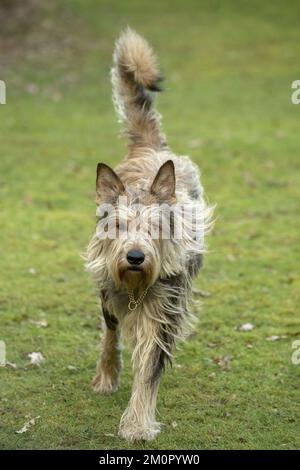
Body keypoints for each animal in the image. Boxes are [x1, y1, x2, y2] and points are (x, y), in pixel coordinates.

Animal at [85, 28, 213, 440]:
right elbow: (111, 335)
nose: (136, 257)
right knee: (110, 331)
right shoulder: (110, 288)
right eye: (118, 225)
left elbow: (148, 368)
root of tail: (152, 148)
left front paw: (138, 423)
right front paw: (108, 376)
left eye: (155, 227)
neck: (136, 286)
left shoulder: (164, 309)